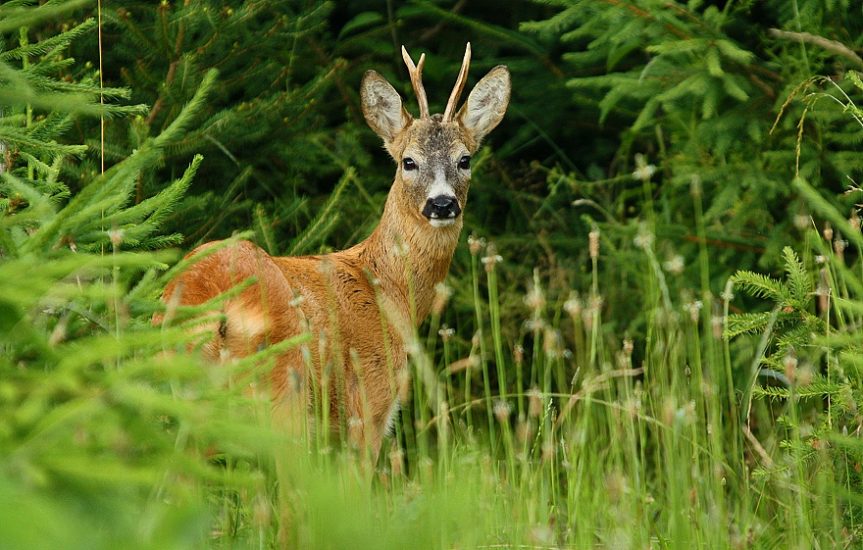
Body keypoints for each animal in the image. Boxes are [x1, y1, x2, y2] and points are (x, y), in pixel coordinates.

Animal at [158, 45, 510, 464]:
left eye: (464, 160)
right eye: (408, 161)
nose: (442, 204)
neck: (387, 291)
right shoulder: (369, 405)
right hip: (285, 395)